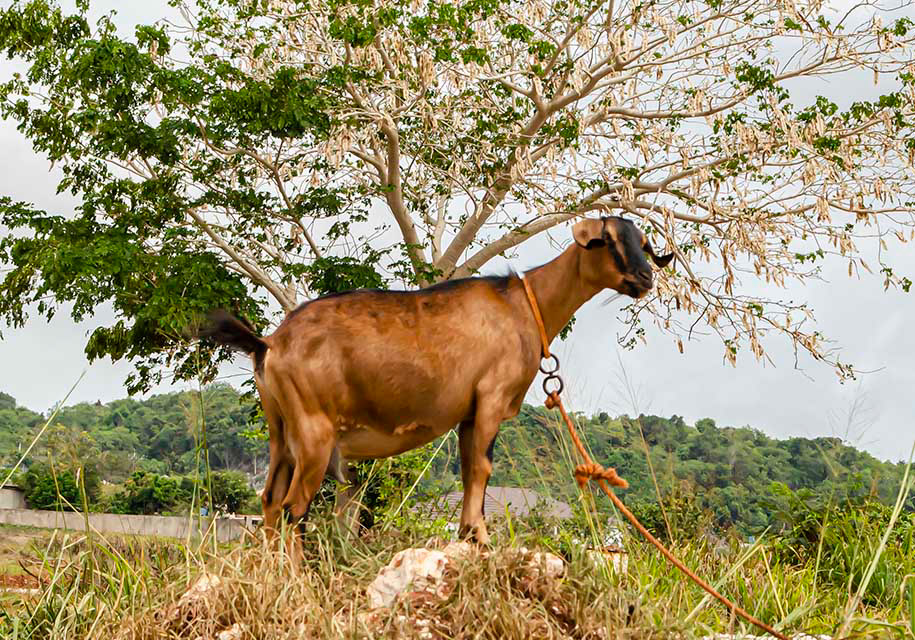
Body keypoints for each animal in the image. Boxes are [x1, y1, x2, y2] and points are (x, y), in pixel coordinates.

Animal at [199, 216, 672, 545]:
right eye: (608, 240)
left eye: (645, 245)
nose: (644, 278)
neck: (524, 305)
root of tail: (269, 344)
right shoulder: (491, 398)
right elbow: (482, 468)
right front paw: (480, 539)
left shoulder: (469, 413)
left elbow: (469, 472)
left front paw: (469, 536)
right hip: (313, 431)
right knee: (294, 508)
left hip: (281, 431)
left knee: (269, 502)